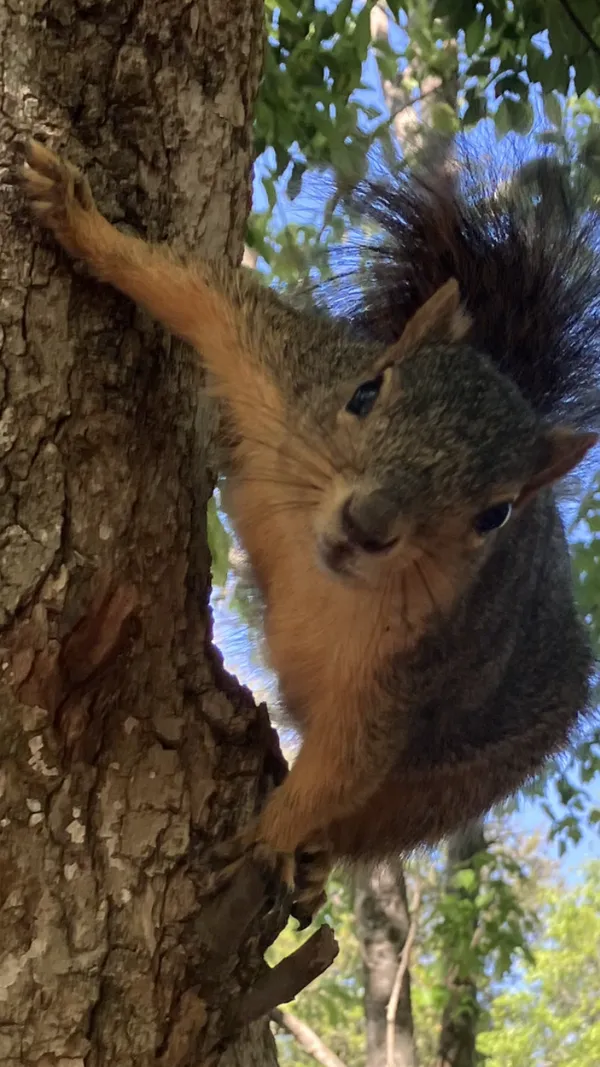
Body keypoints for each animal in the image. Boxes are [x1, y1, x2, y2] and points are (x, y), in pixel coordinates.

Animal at [21, 139, 593, 926]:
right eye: (366, 390)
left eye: (495, 515)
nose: (368, 522)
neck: (314, 565)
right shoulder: (279, 367)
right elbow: (192, 290)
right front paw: (77, 217)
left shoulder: (402, 682)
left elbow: (339, 770)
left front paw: (268, 839)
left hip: (456, 778)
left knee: (370, 821)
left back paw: (316, 862)